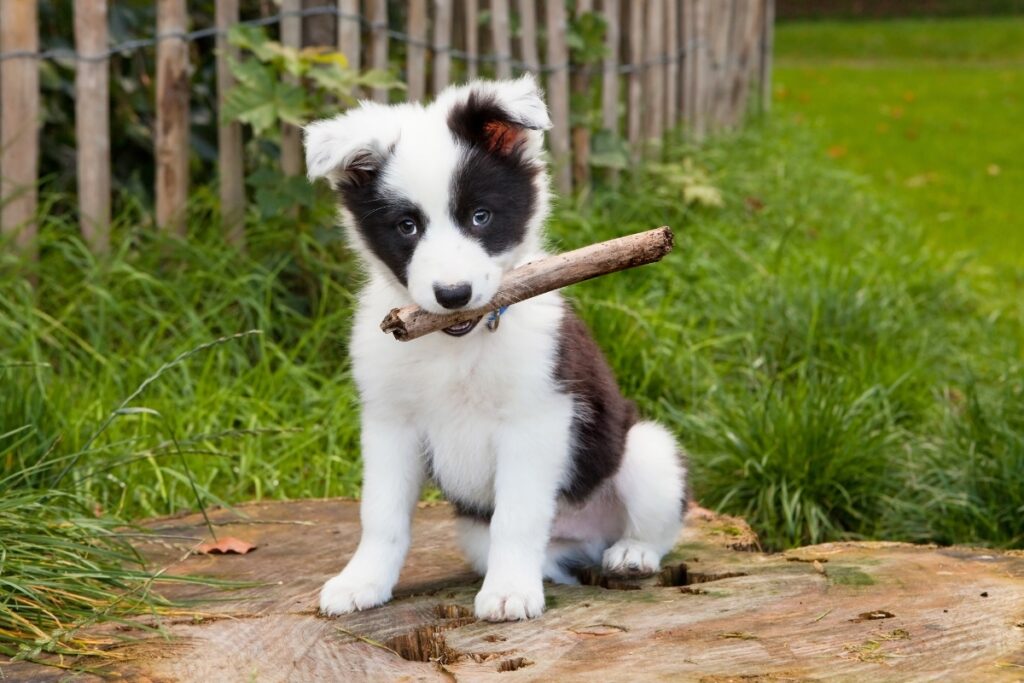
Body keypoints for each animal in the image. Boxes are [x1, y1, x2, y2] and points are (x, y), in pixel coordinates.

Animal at [303, 76, 688, 626]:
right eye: (406, 227)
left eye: (480, 217)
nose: (453, 295)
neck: (456, 347)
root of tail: (587, 537)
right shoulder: (389, 422)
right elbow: (380, 514)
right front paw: (362, 582)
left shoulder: (536, 418)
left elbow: (517, 516)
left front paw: (508, 593)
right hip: (474, 531)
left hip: (645, 450)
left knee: (661, 524)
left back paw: (632, 553)